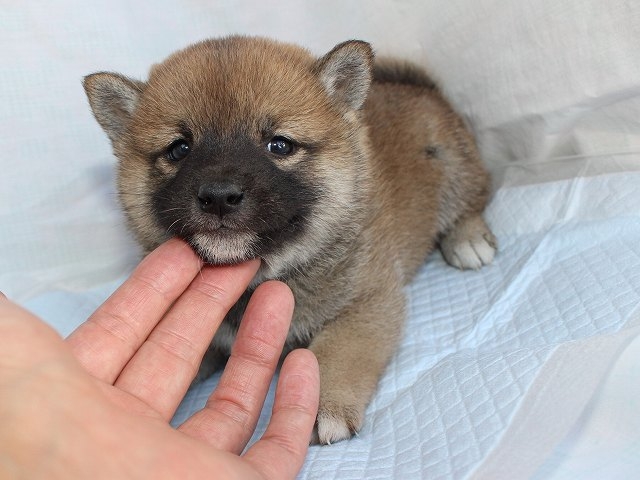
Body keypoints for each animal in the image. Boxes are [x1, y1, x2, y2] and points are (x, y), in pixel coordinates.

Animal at [83, 35, 496, 445]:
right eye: (179, 149)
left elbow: (339, 350)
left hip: (455, 172)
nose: (219, 195)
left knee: (472, 202)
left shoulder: (369, 300)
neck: (267, 277)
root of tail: (422, 89)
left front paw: (323, 404)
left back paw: (468, 239)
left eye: (279, 145)